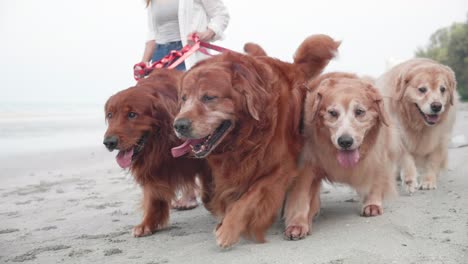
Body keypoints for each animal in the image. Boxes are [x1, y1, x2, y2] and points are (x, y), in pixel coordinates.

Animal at [104, 69, 212, 238]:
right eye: (110, 115)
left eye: (132, 114)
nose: (109, 142)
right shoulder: (153, 167)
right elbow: (154, 196)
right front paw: (147, 224)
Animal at [170, 35, 338, 248]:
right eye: (183, 98)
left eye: (209, 97)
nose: (178, 125)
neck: (246, 136)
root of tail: (294, 67)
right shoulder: (232, 171)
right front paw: (225, 221)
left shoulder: (279, 169)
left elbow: (249, 198)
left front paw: (228, 230)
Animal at [284, 73, 396, 240]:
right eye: (332, 113)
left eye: (359, 112)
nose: (345, 141)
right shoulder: (307, 164)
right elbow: (301, 195)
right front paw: (297, 223)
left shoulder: (378, 153)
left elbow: (377, 178)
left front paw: (373, 203)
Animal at [376, 57, 458, 191]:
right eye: (422, 89)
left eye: (442, 89)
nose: (437, 106)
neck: (419, 125)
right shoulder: (398, 136)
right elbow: (406, 158)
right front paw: (409, 180)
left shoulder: (441, 138)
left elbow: (433, 161)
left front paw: (428, 181)